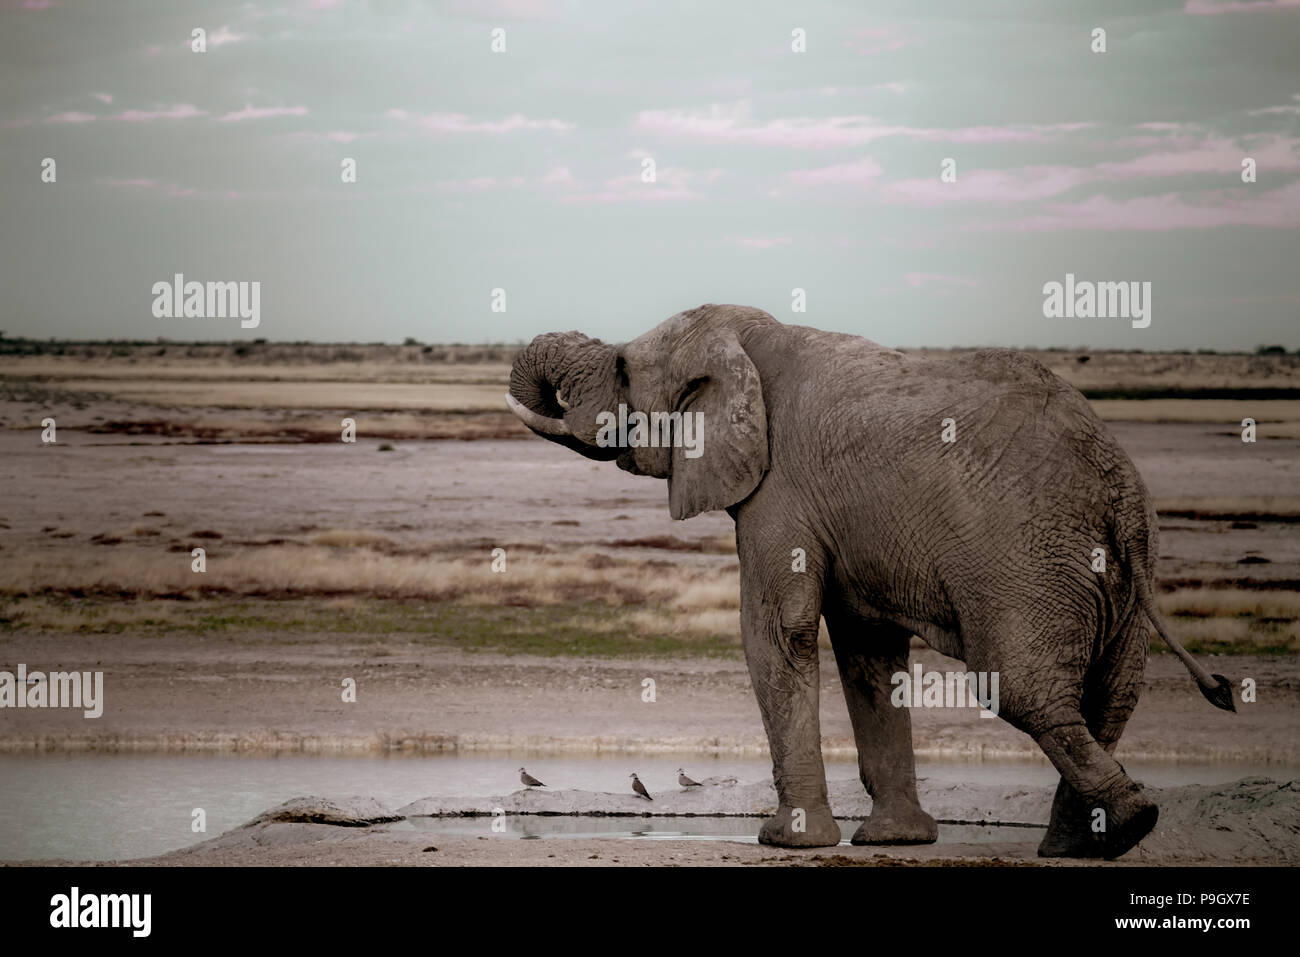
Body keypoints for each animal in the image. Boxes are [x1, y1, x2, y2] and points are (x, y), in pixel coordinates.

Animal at [501, 302, 1232, 858]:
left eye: (624, 367)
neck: (749, 337)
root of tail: (1123, 488)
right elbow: (868, 652)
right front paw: (895, 840)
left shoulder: (781, 489)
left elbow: (778, 629)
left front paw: (787, 841)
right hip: (1121, 573)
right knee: (1109, 698)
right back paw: (1078, 846)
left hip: (1030, 561)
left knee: (1027, 691)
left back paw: (1128, 825)